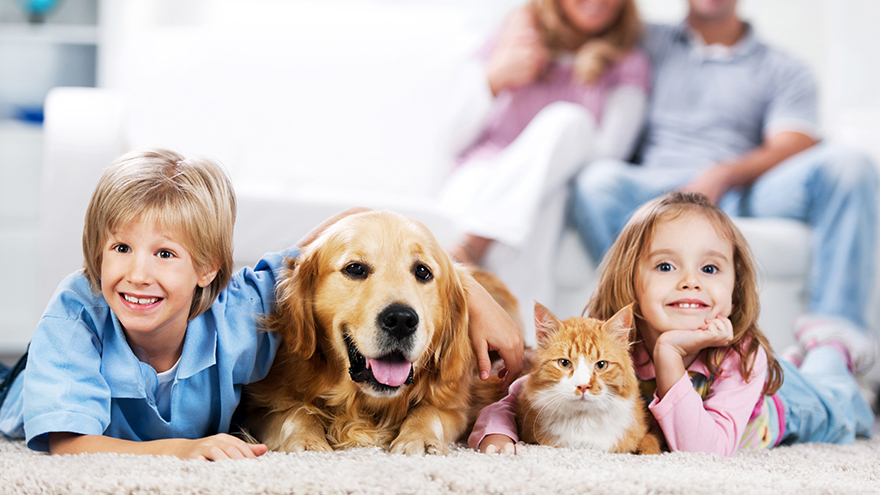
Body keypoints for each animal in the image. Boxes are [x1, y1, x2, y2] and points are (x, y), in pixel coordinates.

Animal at [244, 211, 520, 456]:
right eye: (355, 268)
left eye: (423, 271)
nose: (401, 320)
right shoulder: (262, 405)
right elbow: (294, 412)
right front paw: (305, 439)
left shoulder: (455, 404)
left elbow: (429, 412)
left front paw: (419, 438)